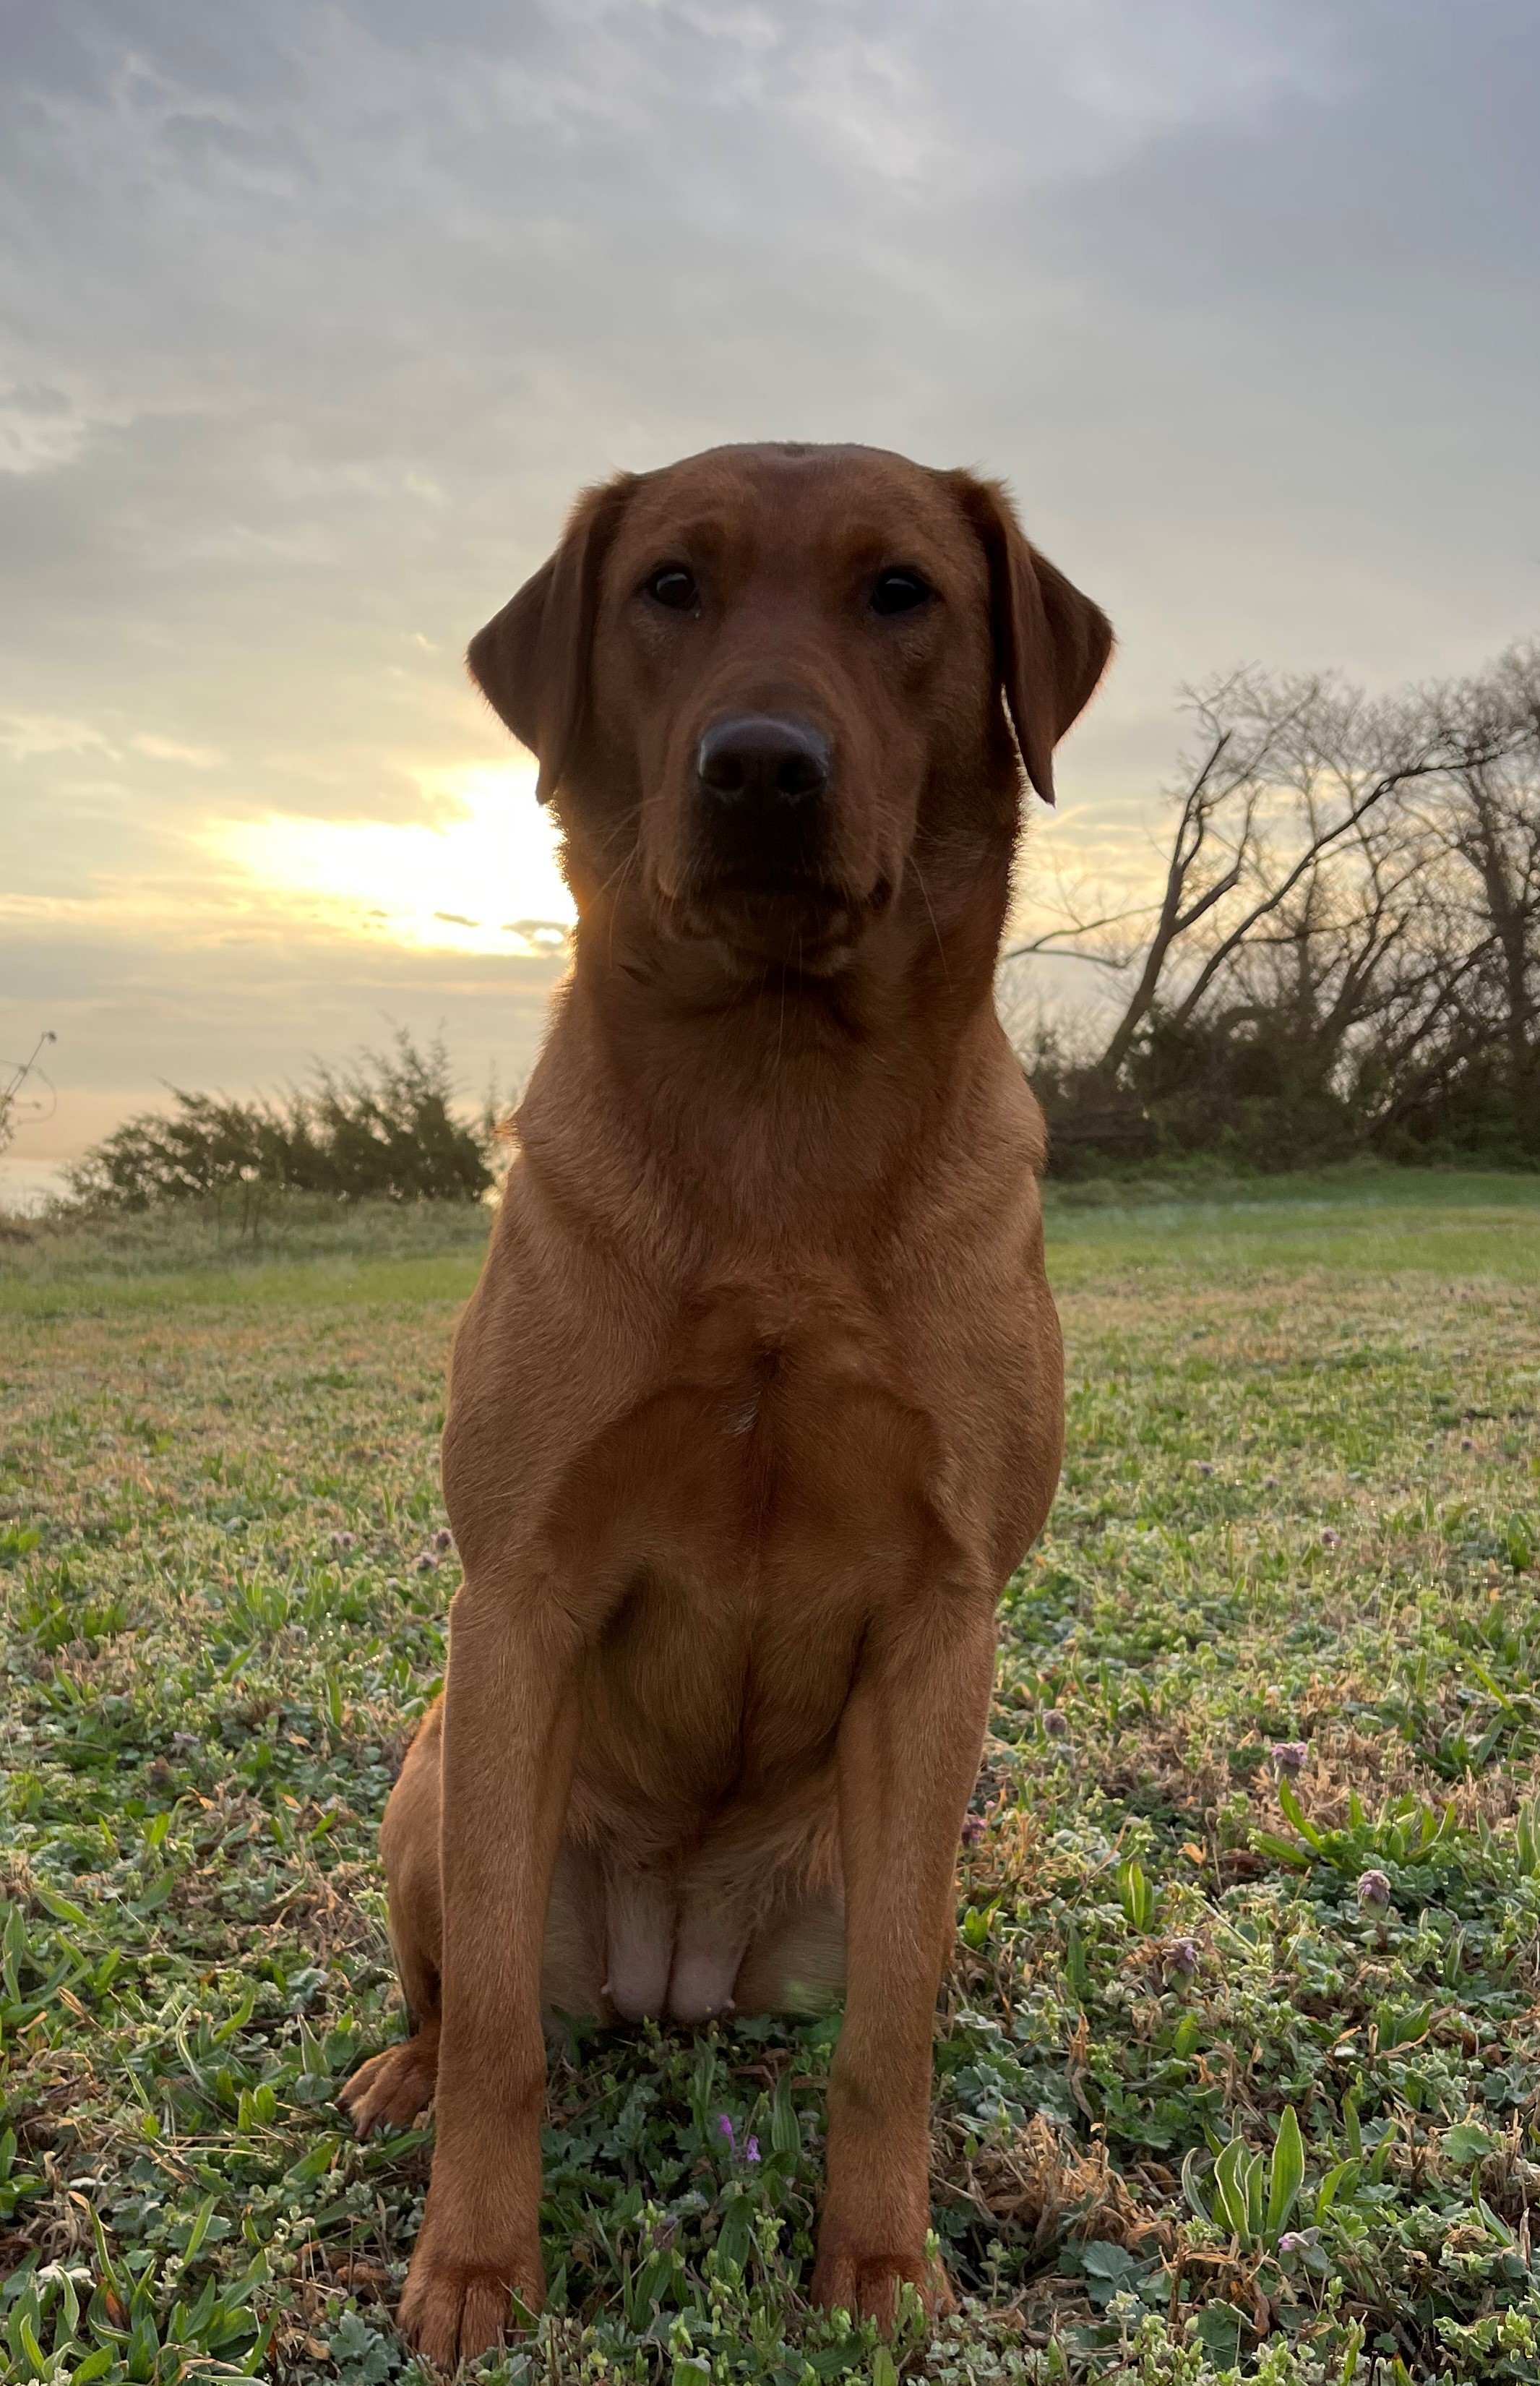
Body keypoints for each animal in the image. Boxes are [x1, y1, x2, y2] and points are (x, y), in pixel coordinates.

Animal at [340, 439, 1111, 2357]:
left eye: (902, 592)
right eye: (667, 589)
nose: (761, 765)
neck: (773, 1113)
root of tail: (673, 1973)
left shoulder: (942, 1623)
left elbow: (891, 2038)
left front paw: (883, 2266)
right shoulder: (519, 1596)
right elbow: (501, 2041)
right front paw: (472, 2273)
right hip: (437, 1785)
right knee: (463, 1996)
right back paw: (400, 2068)